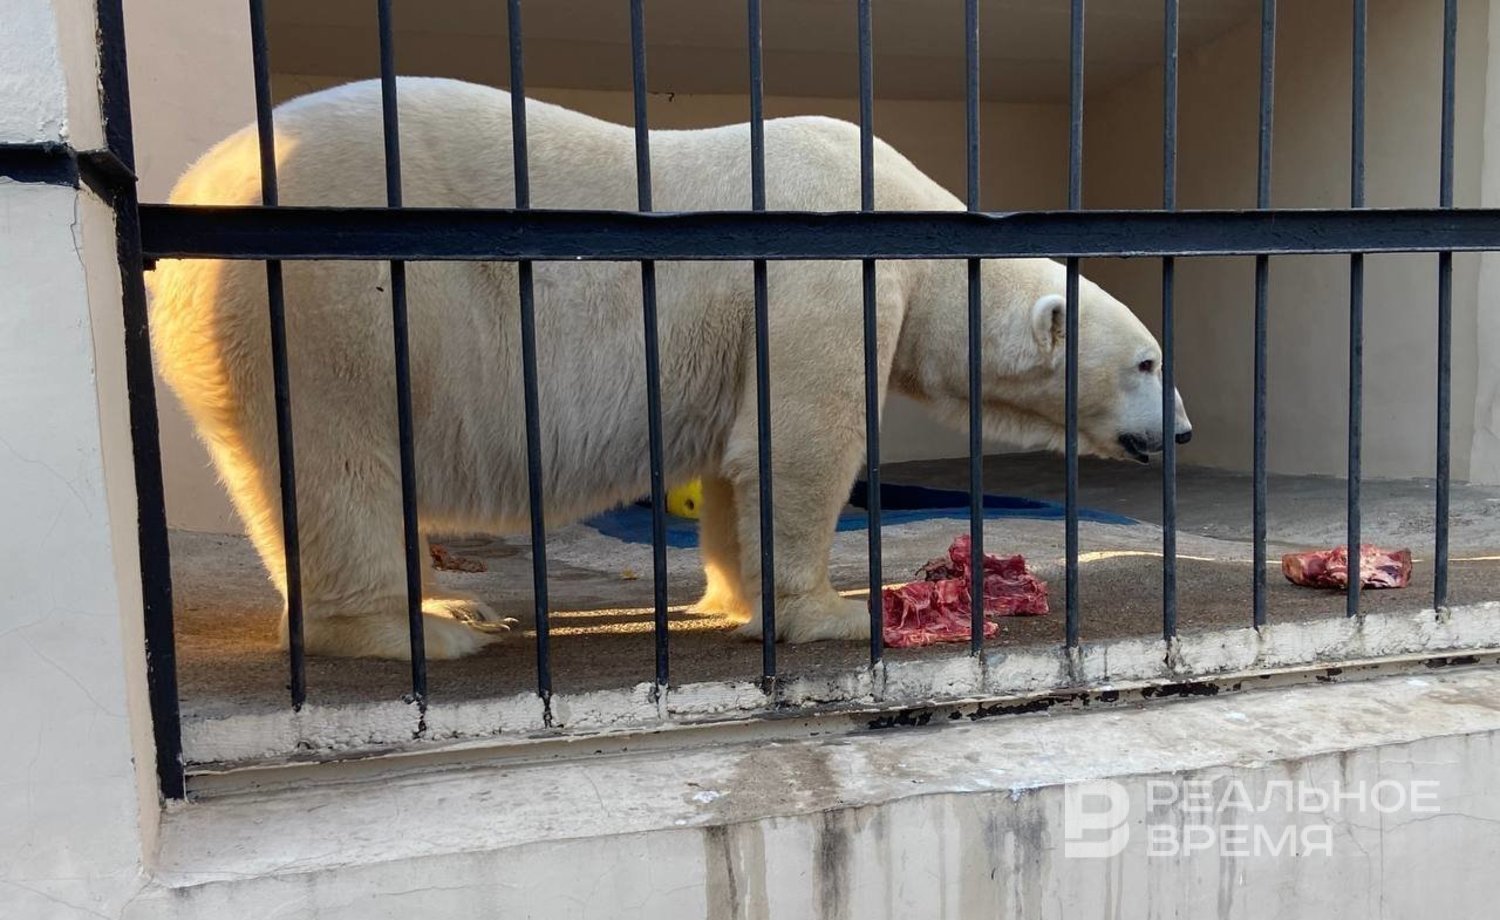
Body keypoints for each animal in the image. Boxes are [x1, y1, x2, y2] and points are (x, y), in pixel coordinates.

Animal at [146, 75, 1188, 657]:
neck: (902, 219)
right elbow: (803, 444)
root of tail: (191, 192)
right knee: (341, 463)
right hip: (331, 306)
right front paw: (838, 611)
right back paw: (423, 631)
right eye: (1146, 359)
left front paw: (730, 599)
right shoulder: (816, 280)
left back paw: (451, 604)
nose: (1179, 429)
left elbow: (736, 459)